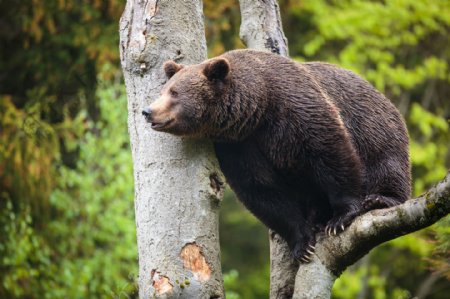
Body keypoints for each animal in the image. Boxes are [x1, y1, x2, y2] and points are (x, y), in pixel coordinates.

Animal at [142, 50, 410, 264]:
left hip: (374, 126)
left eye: (174, 92)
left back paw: (380, 199)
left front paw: (341, 217)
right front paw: (302, 243)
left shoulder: (296, 110)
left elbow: (331, 153)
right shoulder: (239, 146)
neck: (257, 108)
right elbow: (263, 190)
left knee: (386, 161)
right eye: (164, 90)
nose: (148, 111)